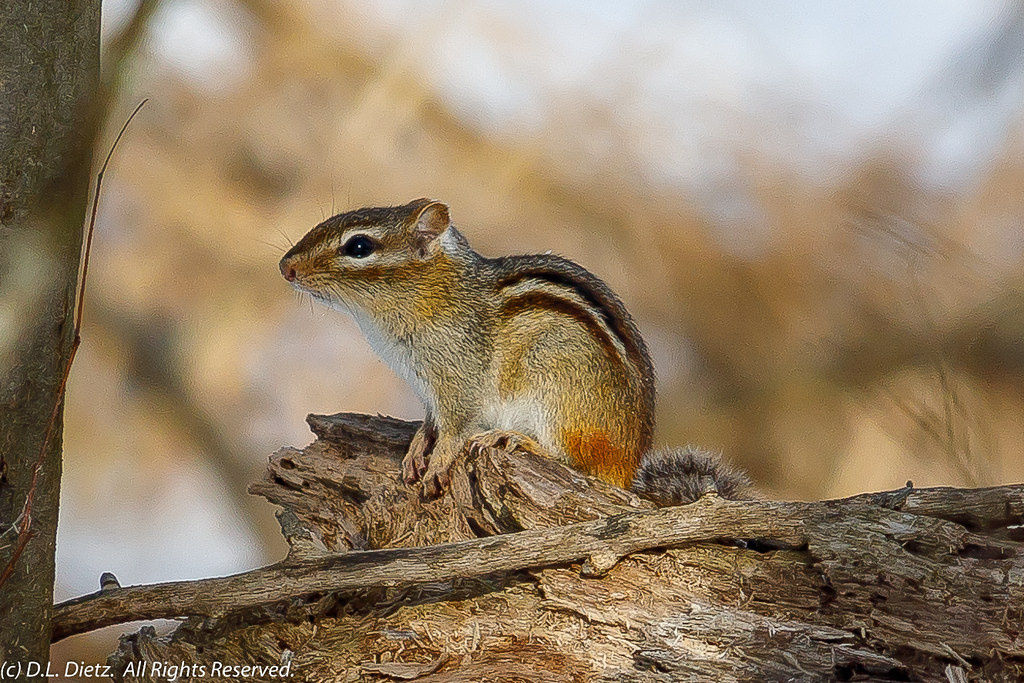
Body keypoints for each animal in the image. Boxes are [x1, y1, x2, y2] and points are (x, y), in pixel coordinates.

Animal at [279, 198, 750, 504]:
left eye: (358, 246)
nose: (285, 267)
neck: (436, 293)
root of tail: (626, 468)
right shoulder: (429, 388)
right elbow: (431, 423)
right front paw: (416, 449)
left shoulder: (460, 380)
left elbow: (456, 429)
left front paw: (438, 462)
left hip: (556, 387)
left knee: (576, 463)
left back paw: (515, 438)